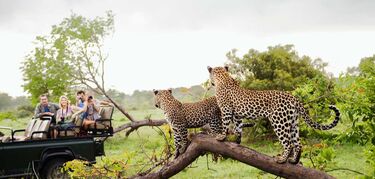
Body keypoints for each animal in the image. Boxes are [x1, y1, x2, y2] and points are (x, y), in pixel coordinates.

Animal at [207, 65, 342, 164]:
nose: (211, 83)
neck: (223, 77)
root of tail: (294, 97)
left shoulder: (226, 109)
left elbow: (225, 124)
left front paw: (221, 137)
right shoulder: (237, 114)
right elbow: (238, 127)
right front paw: (237, 140)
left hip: (279, 121)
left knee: (288, 143)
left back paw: (282, 159)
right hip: (293, 122)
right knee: (298, 143)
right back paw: (294, 161)